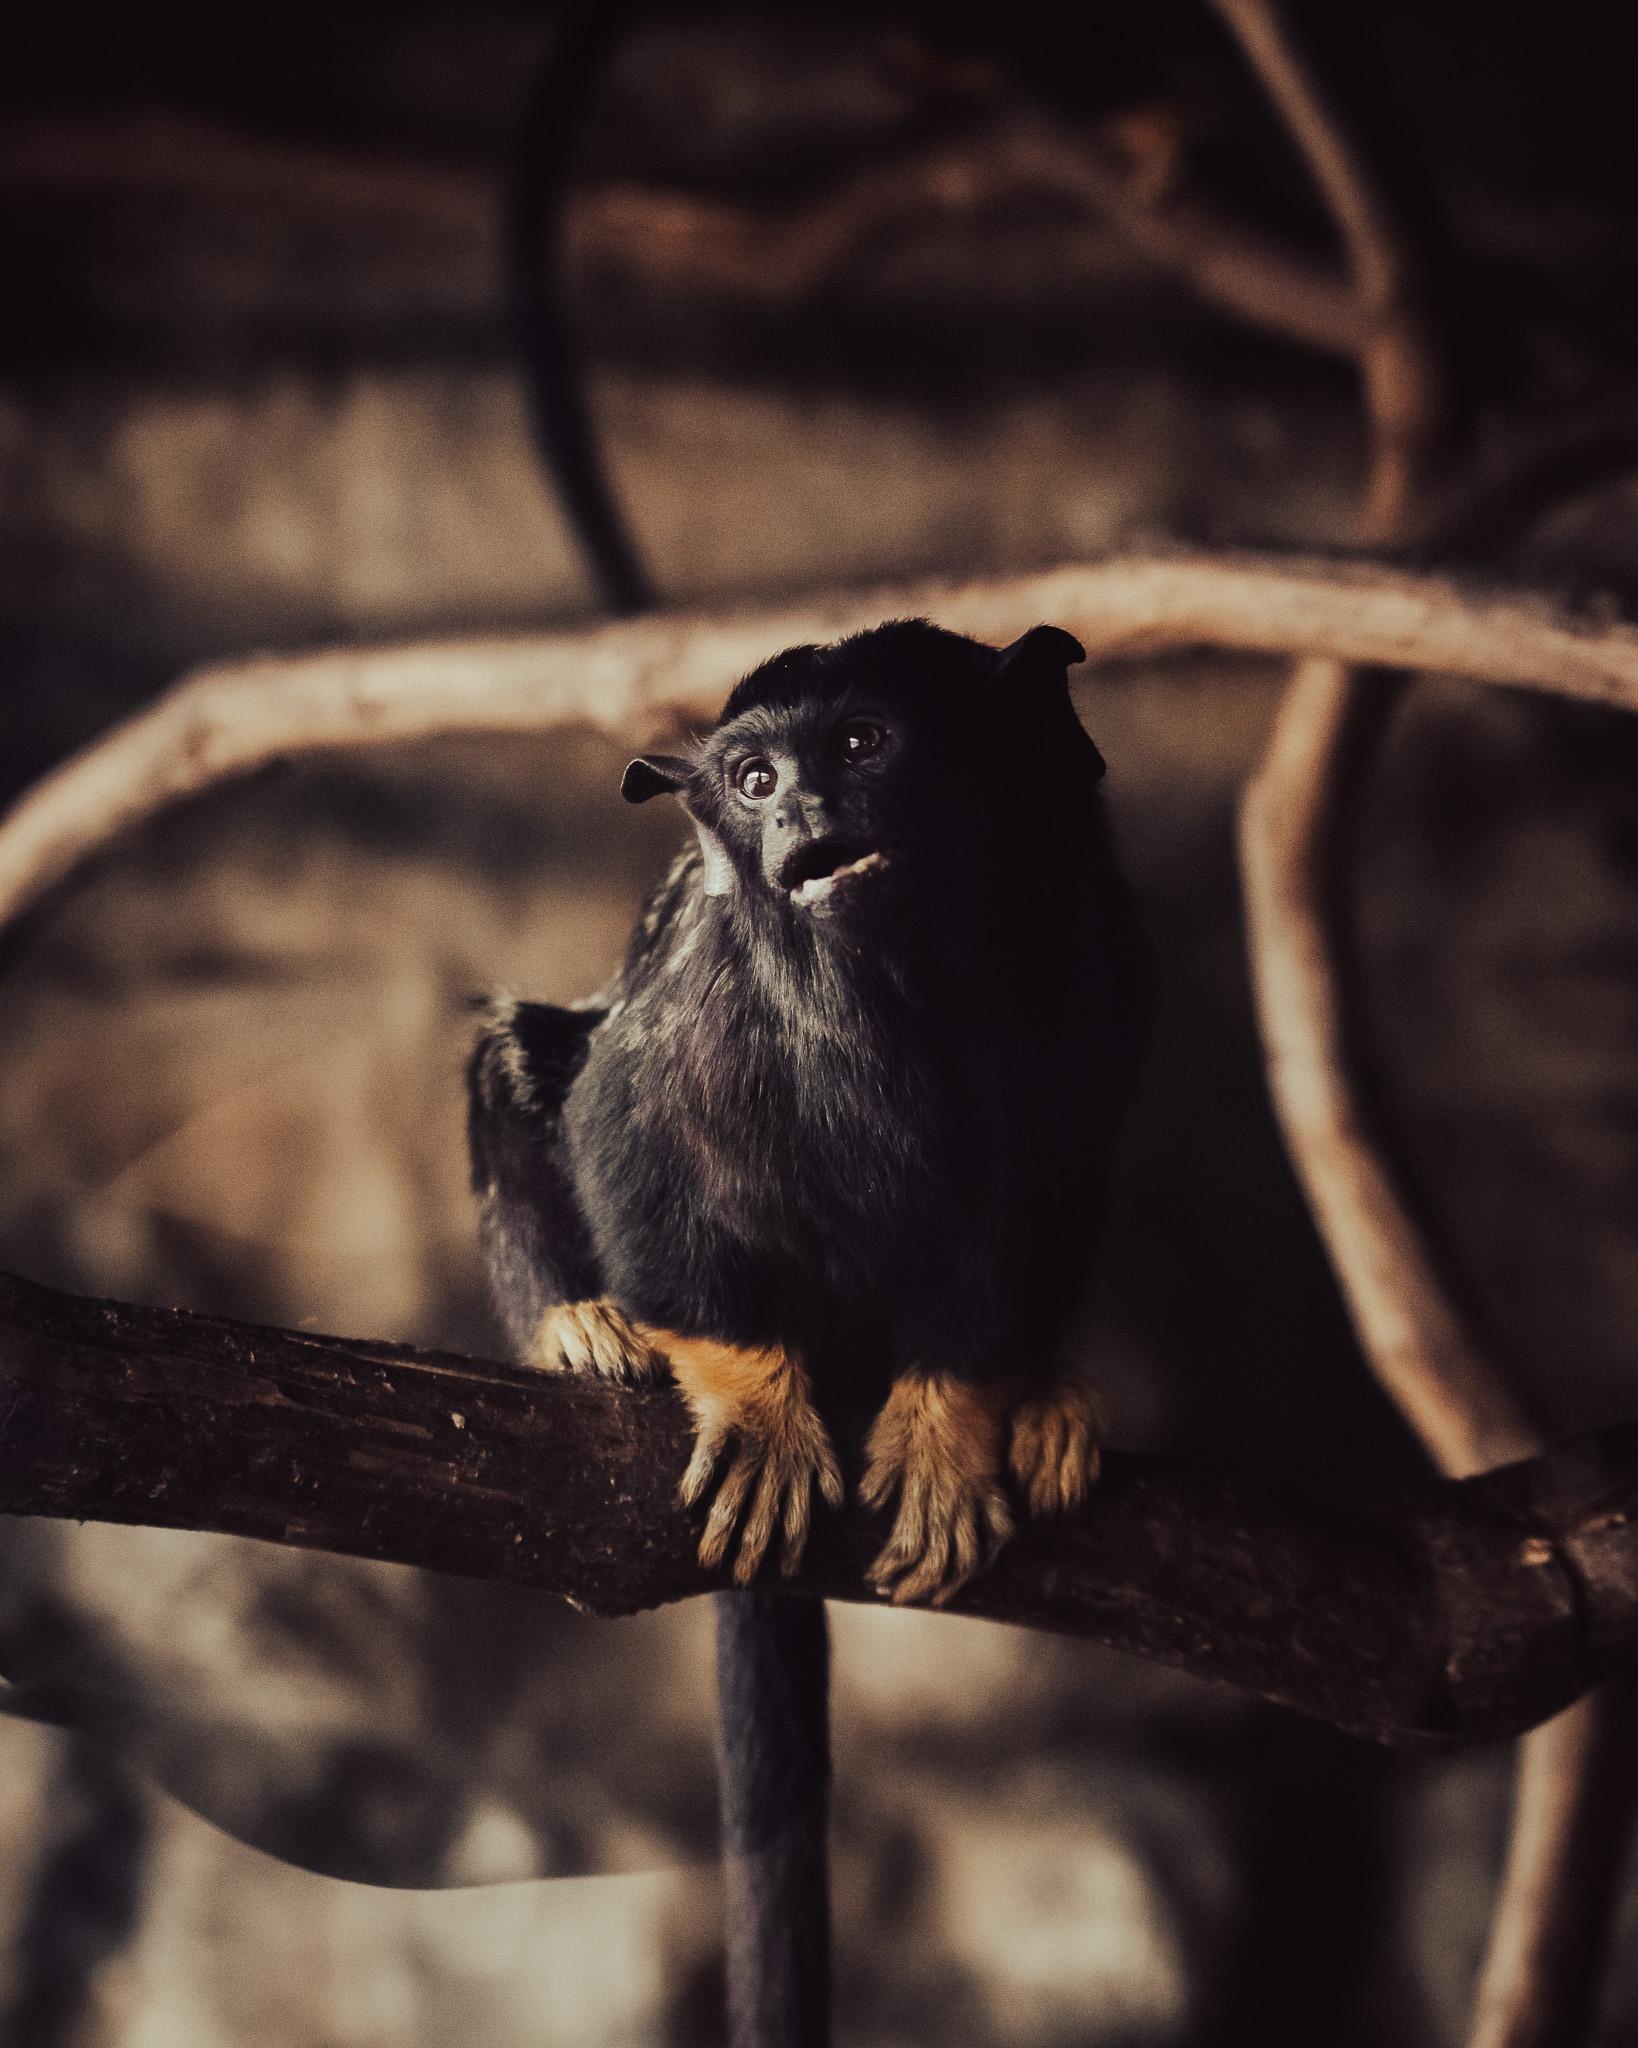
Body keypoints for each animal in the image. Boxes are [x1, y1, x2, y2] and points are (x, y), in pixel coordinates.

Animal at [466, 617, 1146, 2046]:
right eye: (755, 779)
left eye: (860, 742)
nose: (803, 818)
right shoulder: (708, 990)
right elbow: (628, 1126)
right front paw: (754, 1403)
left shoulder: (1097, 953)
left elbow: (1042, 1188)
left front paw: (955, 1419)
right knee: (520, 1054)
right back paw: (579, 1322)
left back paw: (1048, 1394)